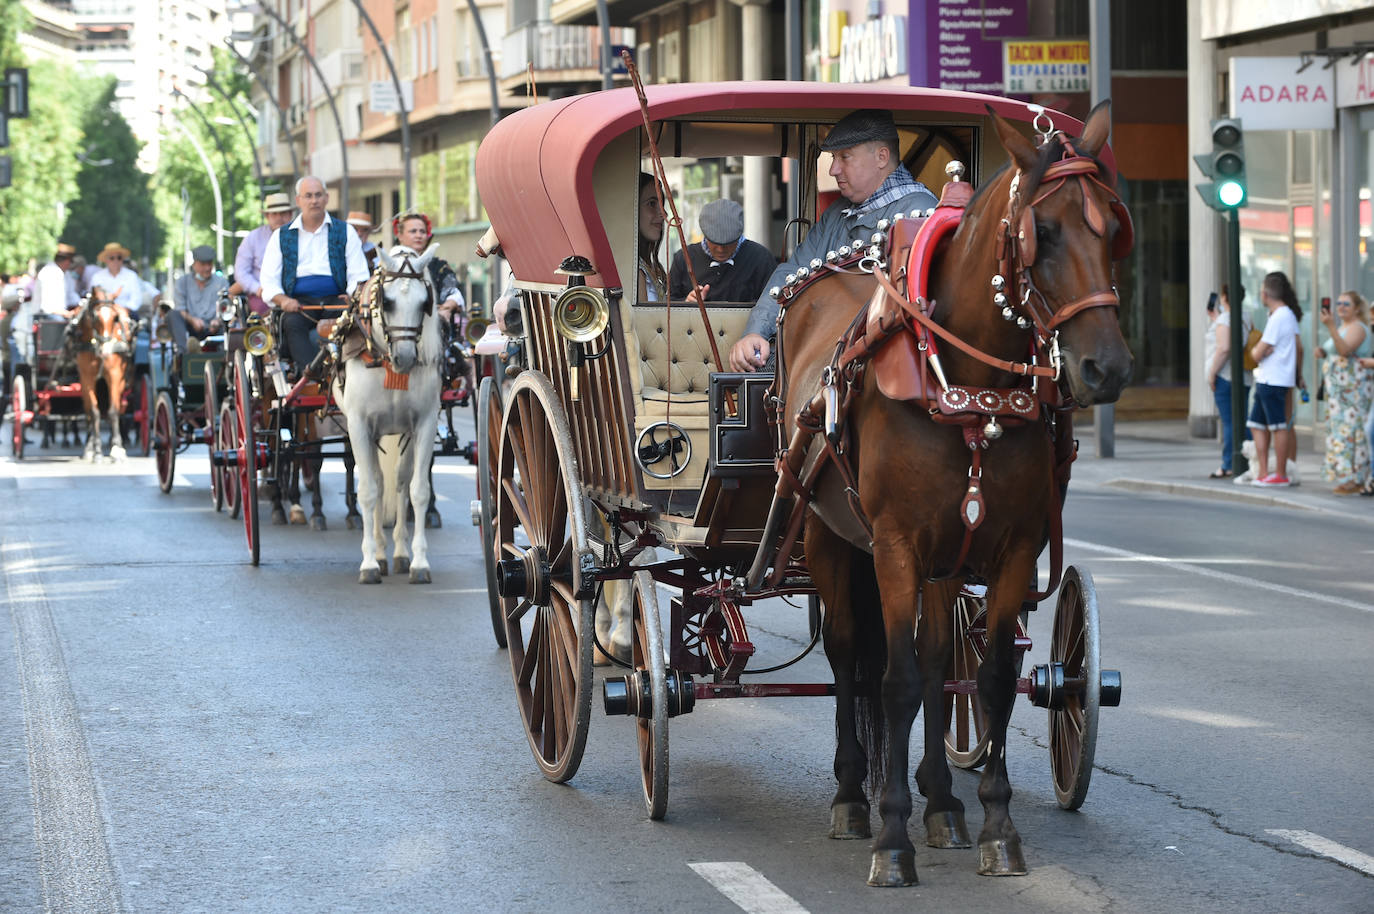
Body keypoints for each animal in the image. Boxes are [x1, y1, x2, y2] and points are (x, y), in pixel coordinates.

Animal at [69, 287, 134, 462]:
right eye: (95, 317)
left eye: (115, 318)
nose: (106, 350)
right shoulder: (87, 379)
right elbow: (94, 412)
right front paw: (97, 451)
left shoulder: (114, 375)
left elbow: (113, 411)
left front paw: (117, 448)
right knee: (89, 413)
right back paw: (89, 447)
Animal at [332, 243, 443, 584]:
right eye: (388, 301)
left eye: (424, 303)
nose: (405, 358)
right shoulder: (359, 426)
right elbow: (368, 492)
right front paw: (369, 562)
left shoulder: (424, 424)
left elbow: (418, 491)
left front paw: (419, 561)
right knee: (378, 485)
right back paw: (379, 554)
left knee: (397, 482)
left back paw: (398, 553)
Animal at [776, 102, 1132, 886]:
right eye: (1043, 232)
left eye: (1112, 231)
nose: (1108, 367)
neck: (970, 390)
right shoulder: (895, 546)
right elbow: (895, 681)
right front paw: (890, 838)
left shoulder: (1009, 549)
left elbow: (989, 679)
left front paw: (997, 827)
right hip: (830, 536)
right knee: (849, 657)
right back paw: (853, 796)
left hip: (945, 557)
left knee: (942, 660)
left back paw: (942, 803)